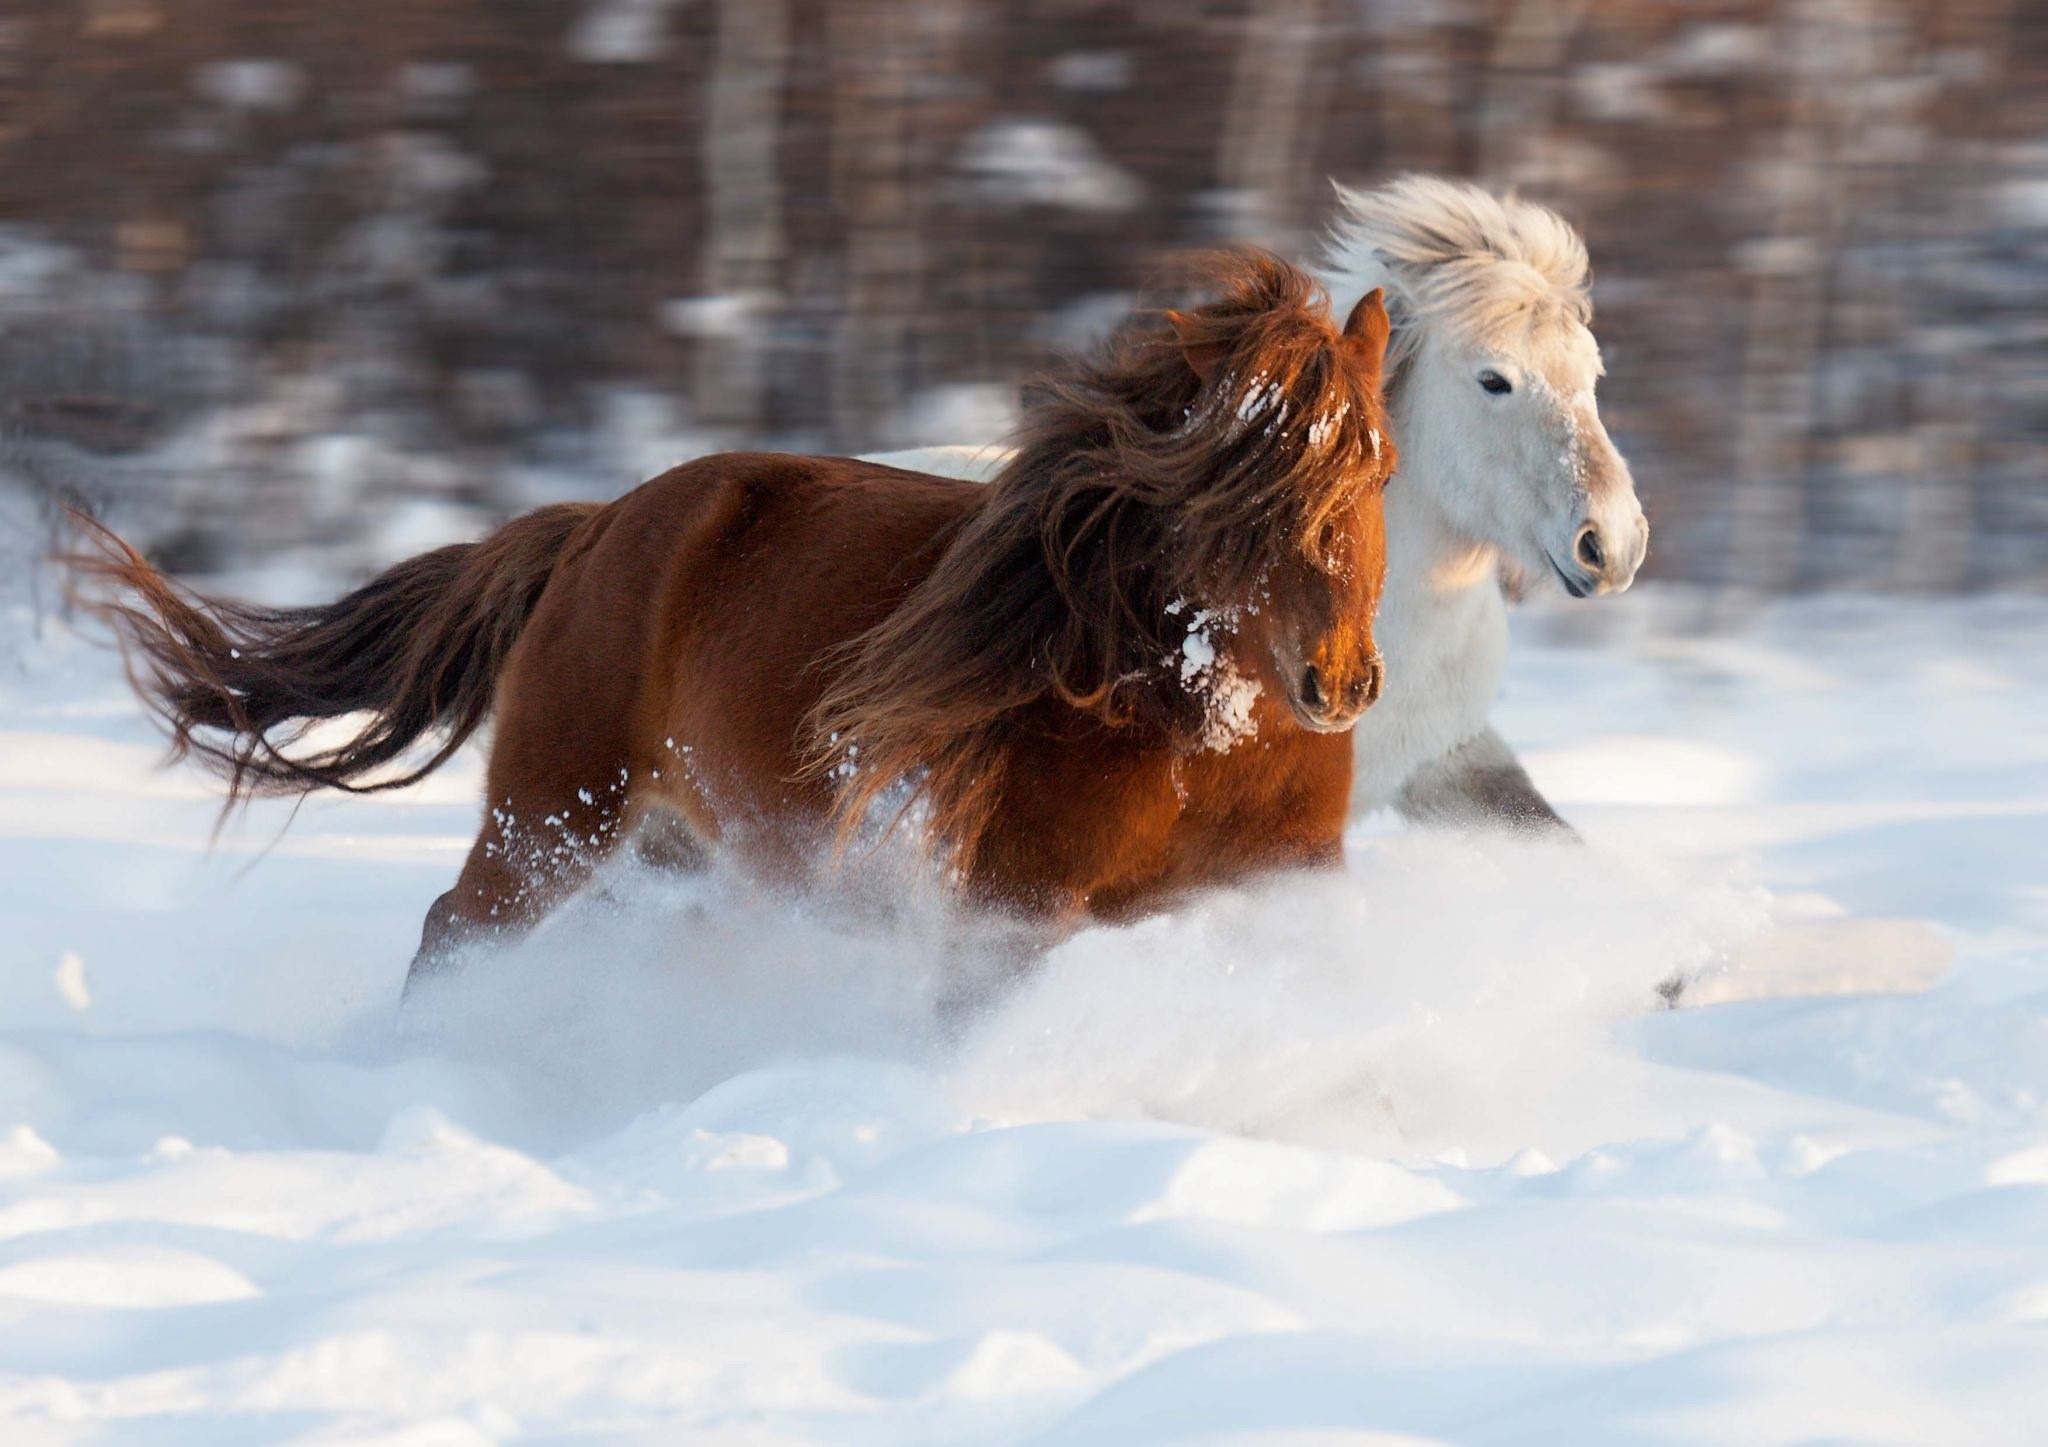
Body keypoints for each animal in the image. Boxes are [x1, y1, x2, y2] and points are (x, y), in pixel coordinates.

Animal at [72, 254, 1400, 990]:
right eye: (1243, 480)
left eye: (1377, 469)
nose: (1338, 682)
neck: (1199, 736)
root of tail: (599, 524)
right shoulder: (1014, 910)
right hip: (557, 812)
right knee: (457, 928)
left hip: (673, 841)